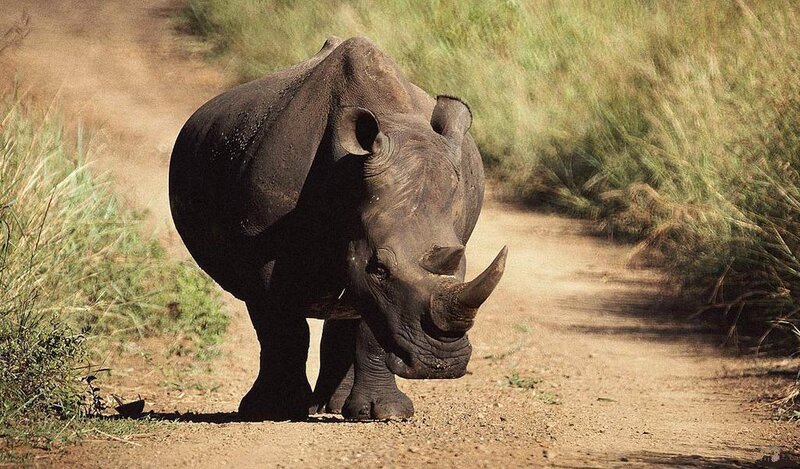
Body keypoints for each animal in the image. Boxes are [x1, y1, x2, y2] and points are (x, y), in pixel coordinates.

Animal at [169, 36, 507, 421]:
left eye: (462, 262)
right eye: (379, 268)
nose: (441, 364)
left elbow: (371, 327)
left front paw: (385, 414)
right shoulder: (259, 256)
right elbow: (283, 328)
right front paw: (274, 410)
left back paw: (336, 406)